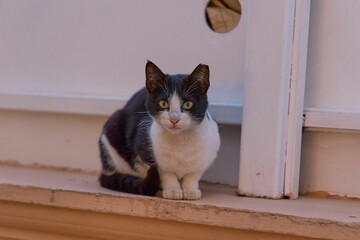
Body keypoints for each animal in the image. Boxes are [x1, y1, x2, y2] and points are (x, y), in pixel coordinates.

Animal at [100, 62, 221, 201]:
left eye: (188, 104)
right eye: (163, 103)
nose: (174, 119)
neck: (181, 141)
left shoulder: (207, 156)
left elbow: (193, 175)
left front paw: (190, 190)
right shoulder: (144, 151)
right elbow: (166, 173)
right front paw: (173, 190)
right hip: (112, 131)